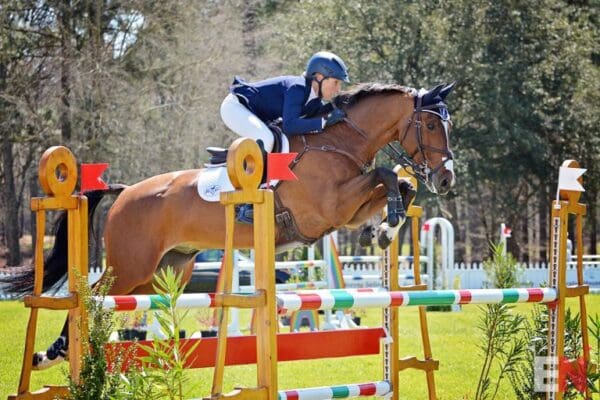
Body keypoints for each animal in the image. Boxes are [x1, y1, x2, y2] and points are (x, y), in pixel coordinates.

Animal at [3, 81, 454, 368]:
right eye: (432, 124)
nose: (447, 178)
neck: (336, 141)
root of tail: (128, 191)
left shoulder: (345, 208)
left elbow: (399, 183)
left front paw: (382, 229)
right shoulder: (329, 208)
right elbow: (385, 174)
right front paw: (386, 222)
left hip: (162, 271)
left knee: (114, 299)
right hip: (130, 266)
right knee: (91, 295)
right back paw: (54, 354)